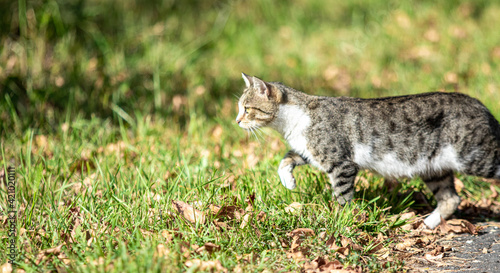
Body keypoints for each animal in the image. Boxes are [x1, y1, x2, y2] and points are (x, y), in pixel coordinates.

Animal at [236, 72, 500, 227]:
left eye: (247, 109)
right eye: (240, 108)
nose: (236, 121)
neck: (294, 121)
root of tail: (481, 105)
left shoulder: (341, 163)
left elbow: (342, 196)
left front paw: (340, 219)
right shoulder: (309, 151)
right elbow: (286, 159)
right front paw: (288, 182)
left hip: (474, 156)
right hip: (434, 168)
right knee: (451, 199)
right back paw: (425, 225)